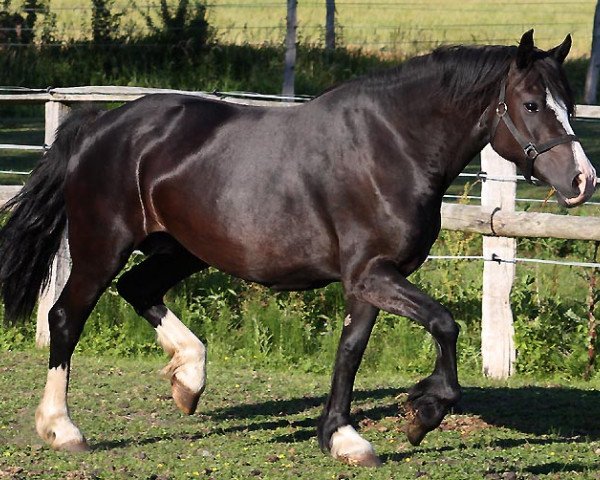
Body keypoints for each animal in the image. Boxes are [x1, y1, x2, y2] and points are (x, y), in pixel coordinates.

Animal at [0, 30, 592, 464]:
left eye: (568, 103)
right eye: (532, 104)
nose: (583, 181)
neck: (393, 146)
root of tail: (102, 124)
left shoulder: (368, 278)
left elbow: (351, 350)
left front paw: (342, 437)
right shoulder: (372, 273)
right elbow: (444, 324)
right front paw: (422, 414)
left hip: (182, 248)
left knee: (138, 289)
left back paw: (188, 379)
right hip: (103, 247)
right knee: (66, 318)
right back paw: (62, 428)